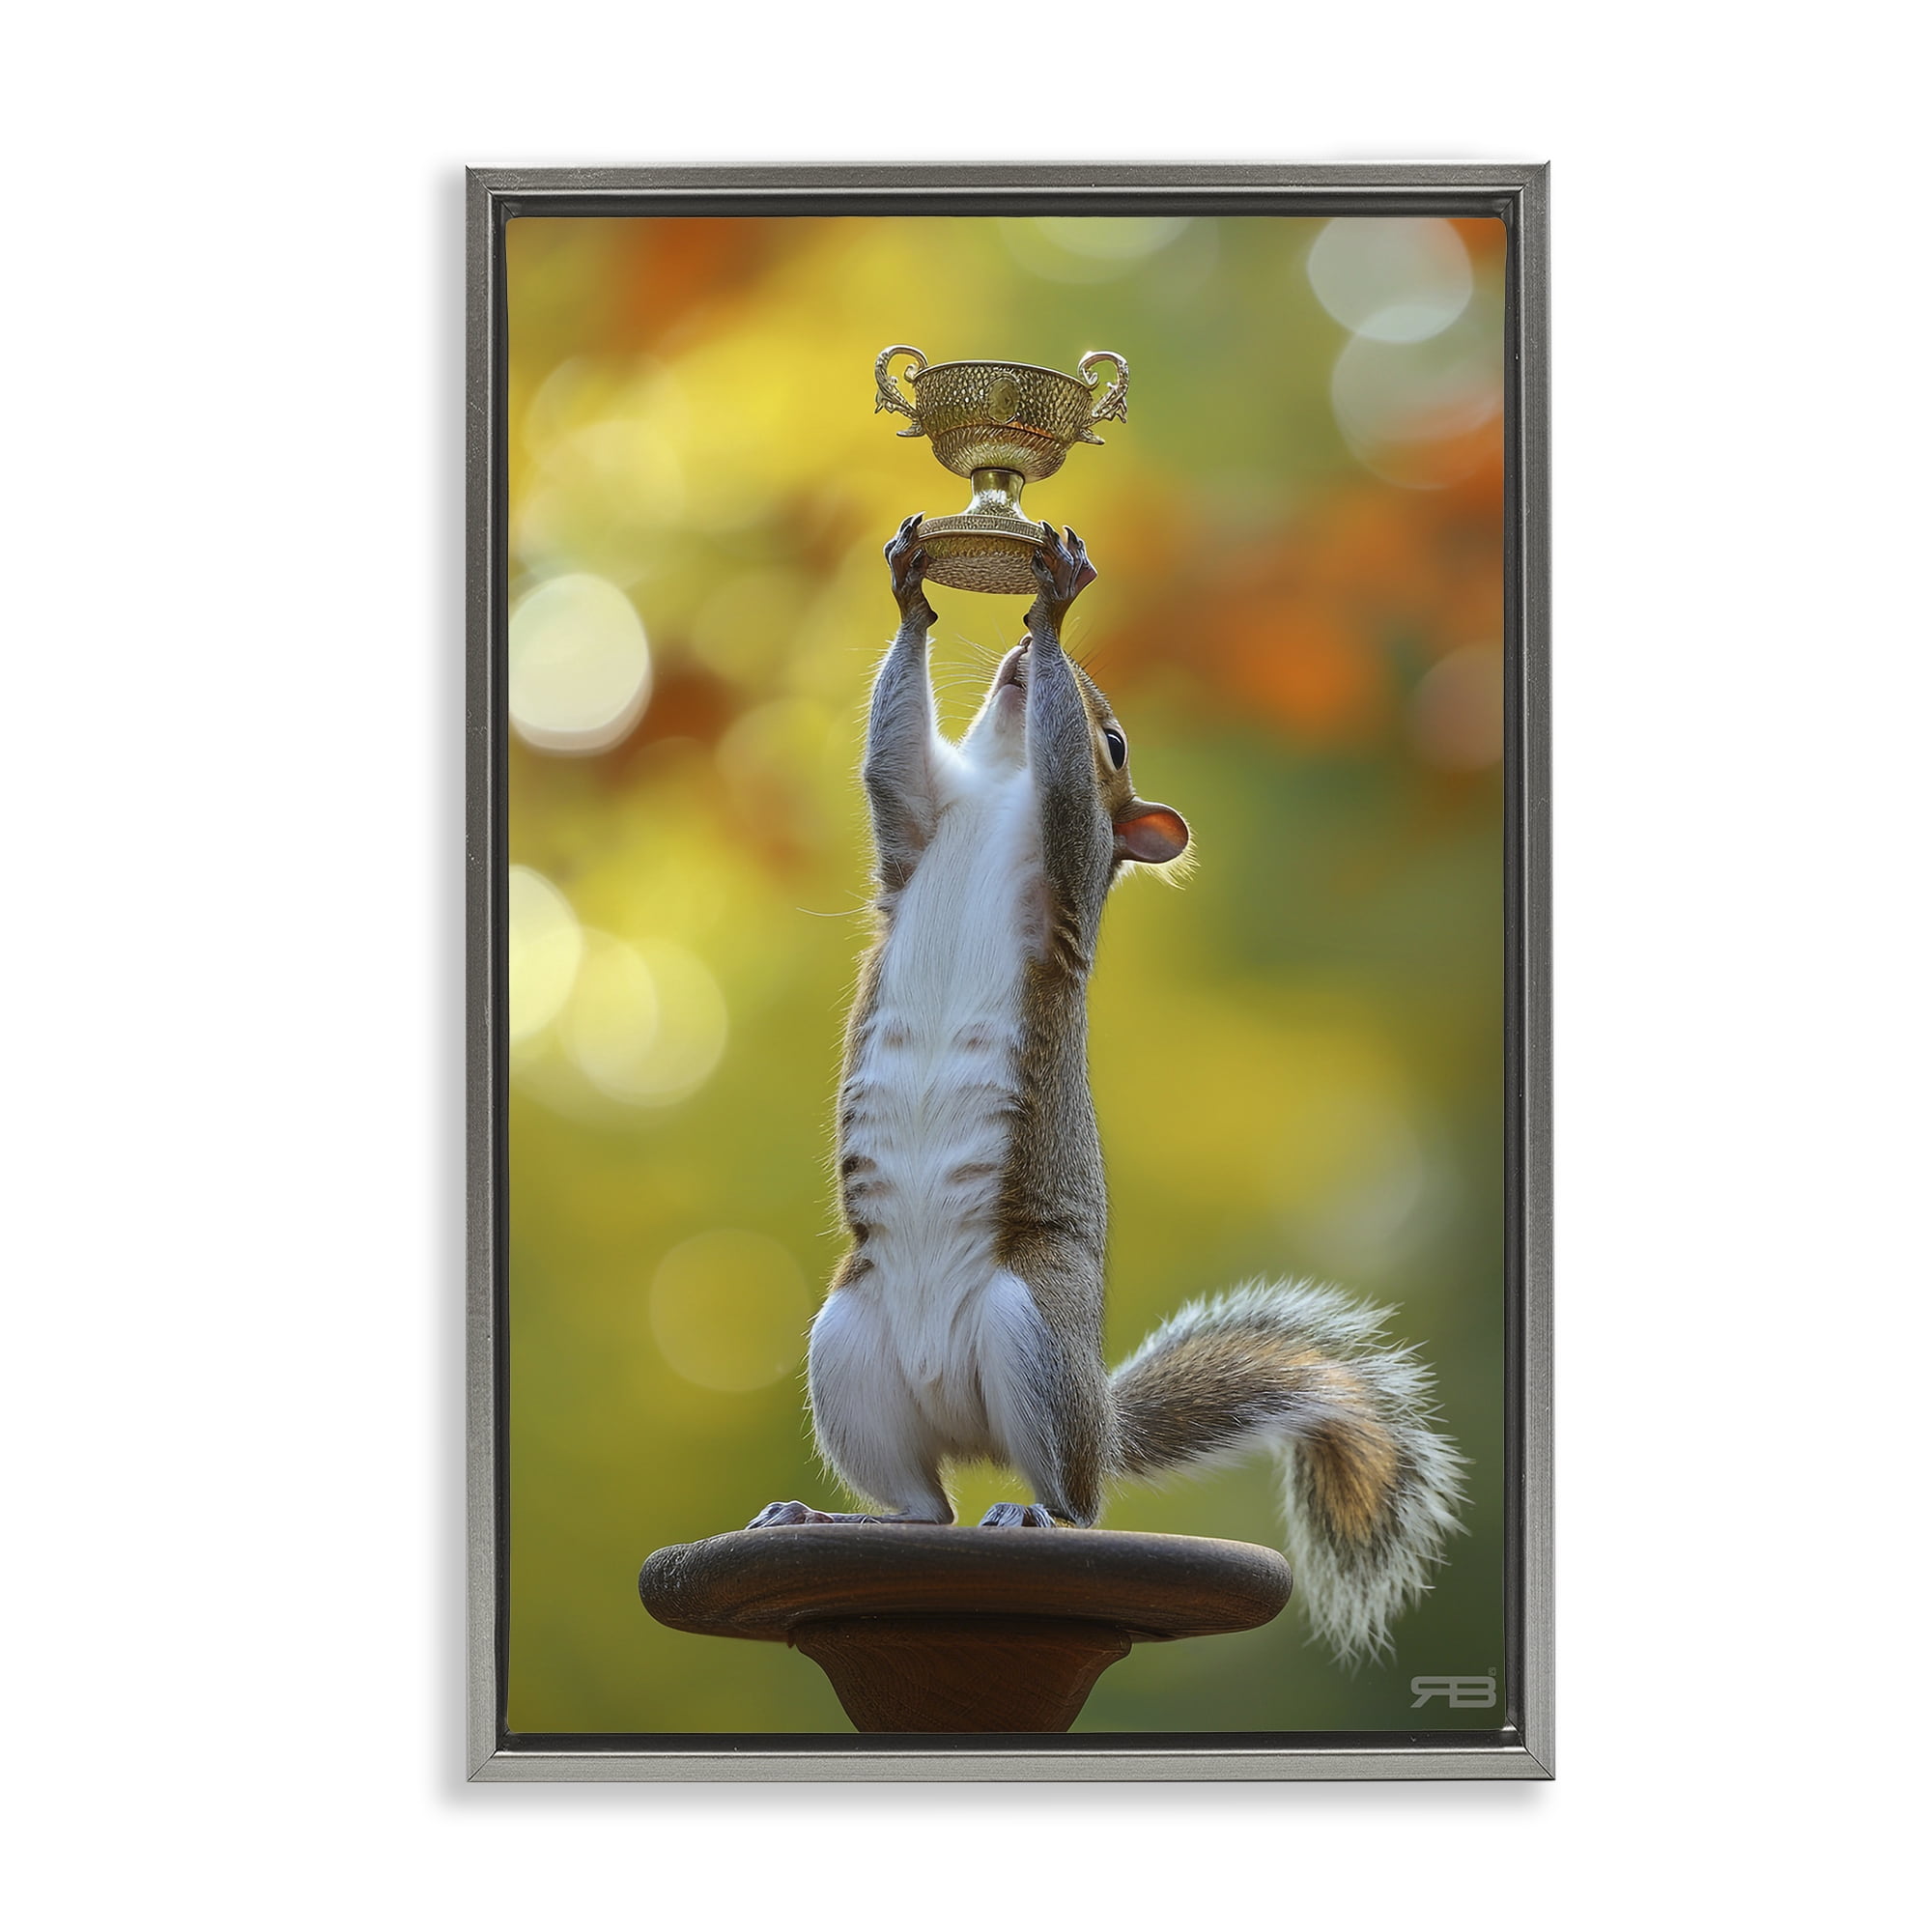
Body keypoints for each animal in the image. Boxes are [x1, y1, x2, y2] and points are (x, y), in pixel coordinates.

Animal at [749, 516, 1465, 1661]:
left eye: (1119, 743)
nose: (1017, 661)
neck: (995, 789)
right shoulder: (915, 824)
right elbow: (889, 759)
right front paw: (914, 593)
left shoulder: (1069, 856)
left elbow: (1064, 797)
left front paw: (1052, 609)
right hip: (848, 1350)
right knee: (925, 1510)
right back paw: (828, 1516)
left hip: (1031, 1329)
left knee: (1069, 1505)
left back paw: (1034, 1514)